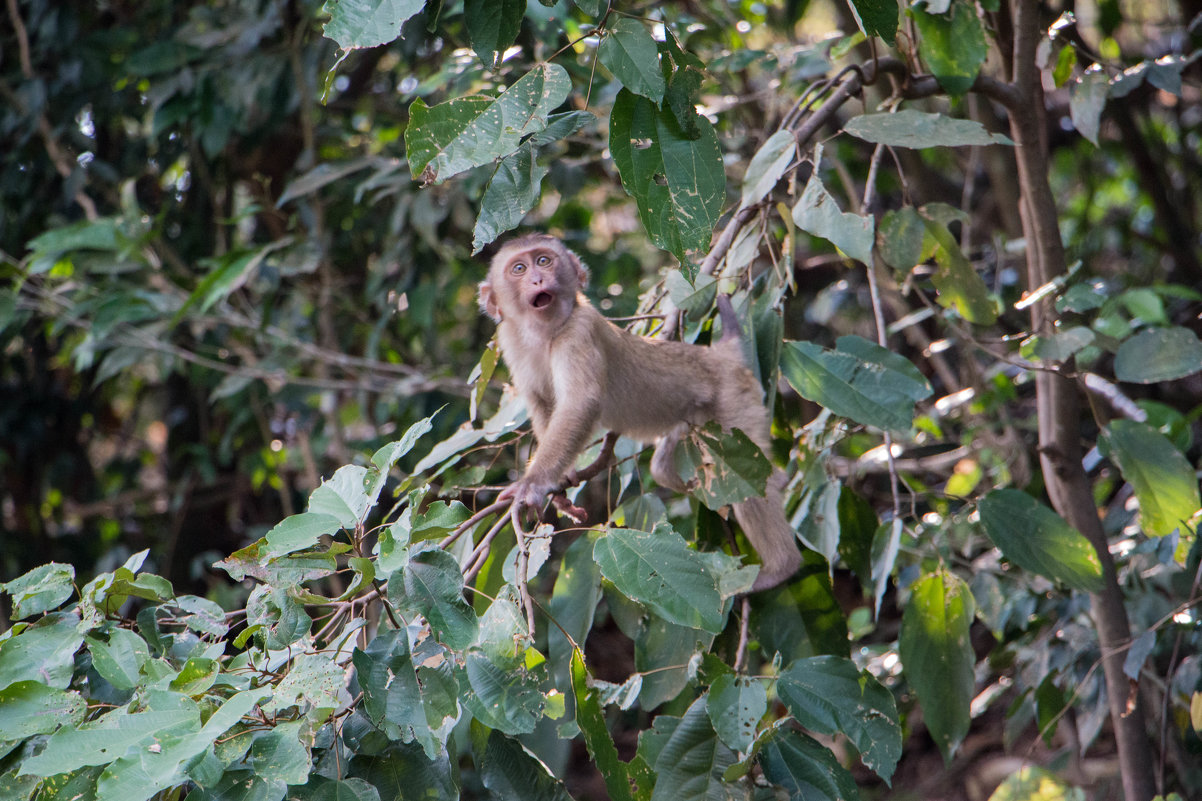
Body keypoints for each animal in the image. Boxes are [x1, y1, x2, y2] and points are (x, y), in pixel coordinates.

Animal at [475, 234, 798, 589]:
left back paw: (781, 565)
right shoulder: (509, 340)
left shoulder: (579, 330)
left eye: (544, 261)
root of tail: (721, 355)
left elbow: (580, 403)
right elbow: (543, 405)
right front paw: (561, 486)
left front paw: (531, 485)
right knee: (668, 468)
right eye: (519, 268)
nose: (537, 279)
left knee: (750, 480)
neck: (544, 334)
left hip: (736, 401)